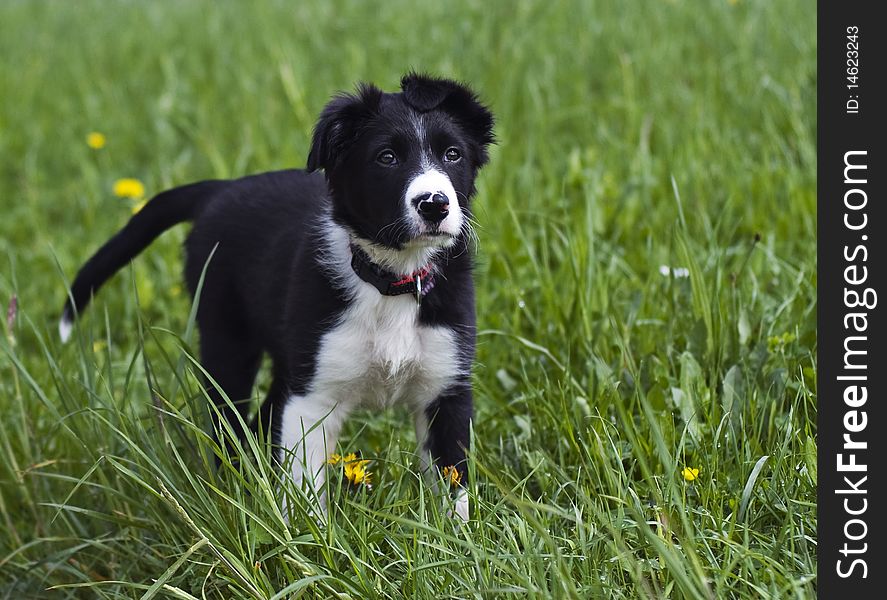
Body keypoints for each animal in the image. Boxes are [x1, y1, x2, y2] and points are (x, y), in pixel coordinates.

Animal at [59, 72, 496, 516]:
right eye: (387, 157)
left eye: (453, 154)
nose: (435, 204)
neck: (392, 281)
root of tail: (220, 190)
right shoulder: (313, 397)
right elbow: (305, 487)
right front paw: (308, 535)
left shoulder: (447, 388)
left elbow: (453, 488)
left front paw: (457, 534)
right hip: (226, 342)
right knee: (229, 425)